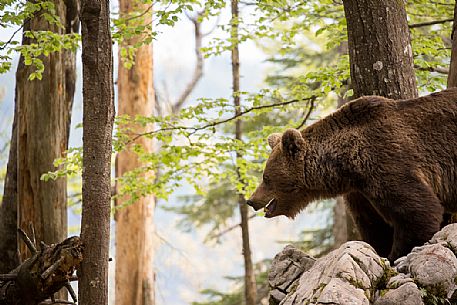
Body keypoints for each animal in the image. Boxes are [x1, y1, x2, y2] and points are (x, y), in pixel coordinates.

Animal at [248, 88, 456, 262]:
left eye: (266, 177)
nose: (251, 200)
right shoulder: (360, 192)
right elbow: (374, 225)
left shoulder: (387, 161)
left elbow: (419, 211)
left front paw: (395, 255)